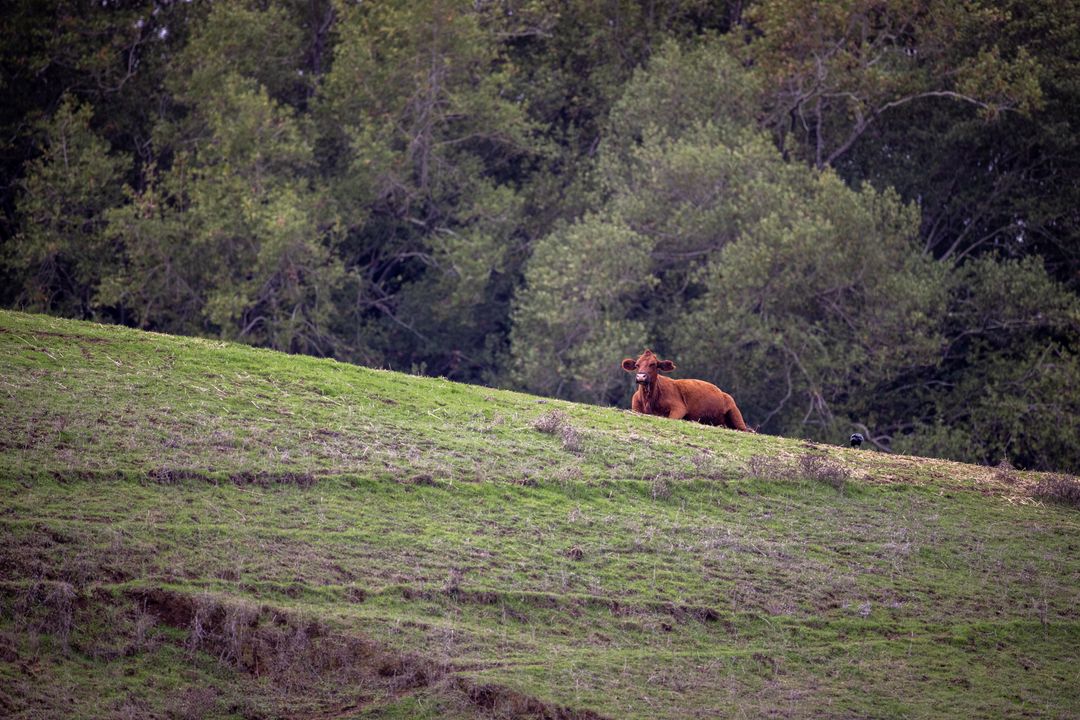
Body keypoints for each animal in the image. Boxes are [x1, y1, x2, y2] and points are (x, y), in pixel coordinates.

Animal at [621, 349, 752, 431]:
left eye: (653, 364)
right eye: (637, 365)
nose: (641, 377)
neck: (649, 400)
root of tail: (724, 393)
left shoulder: (679, 407)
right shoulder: (635, 408)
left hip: (735, 413)